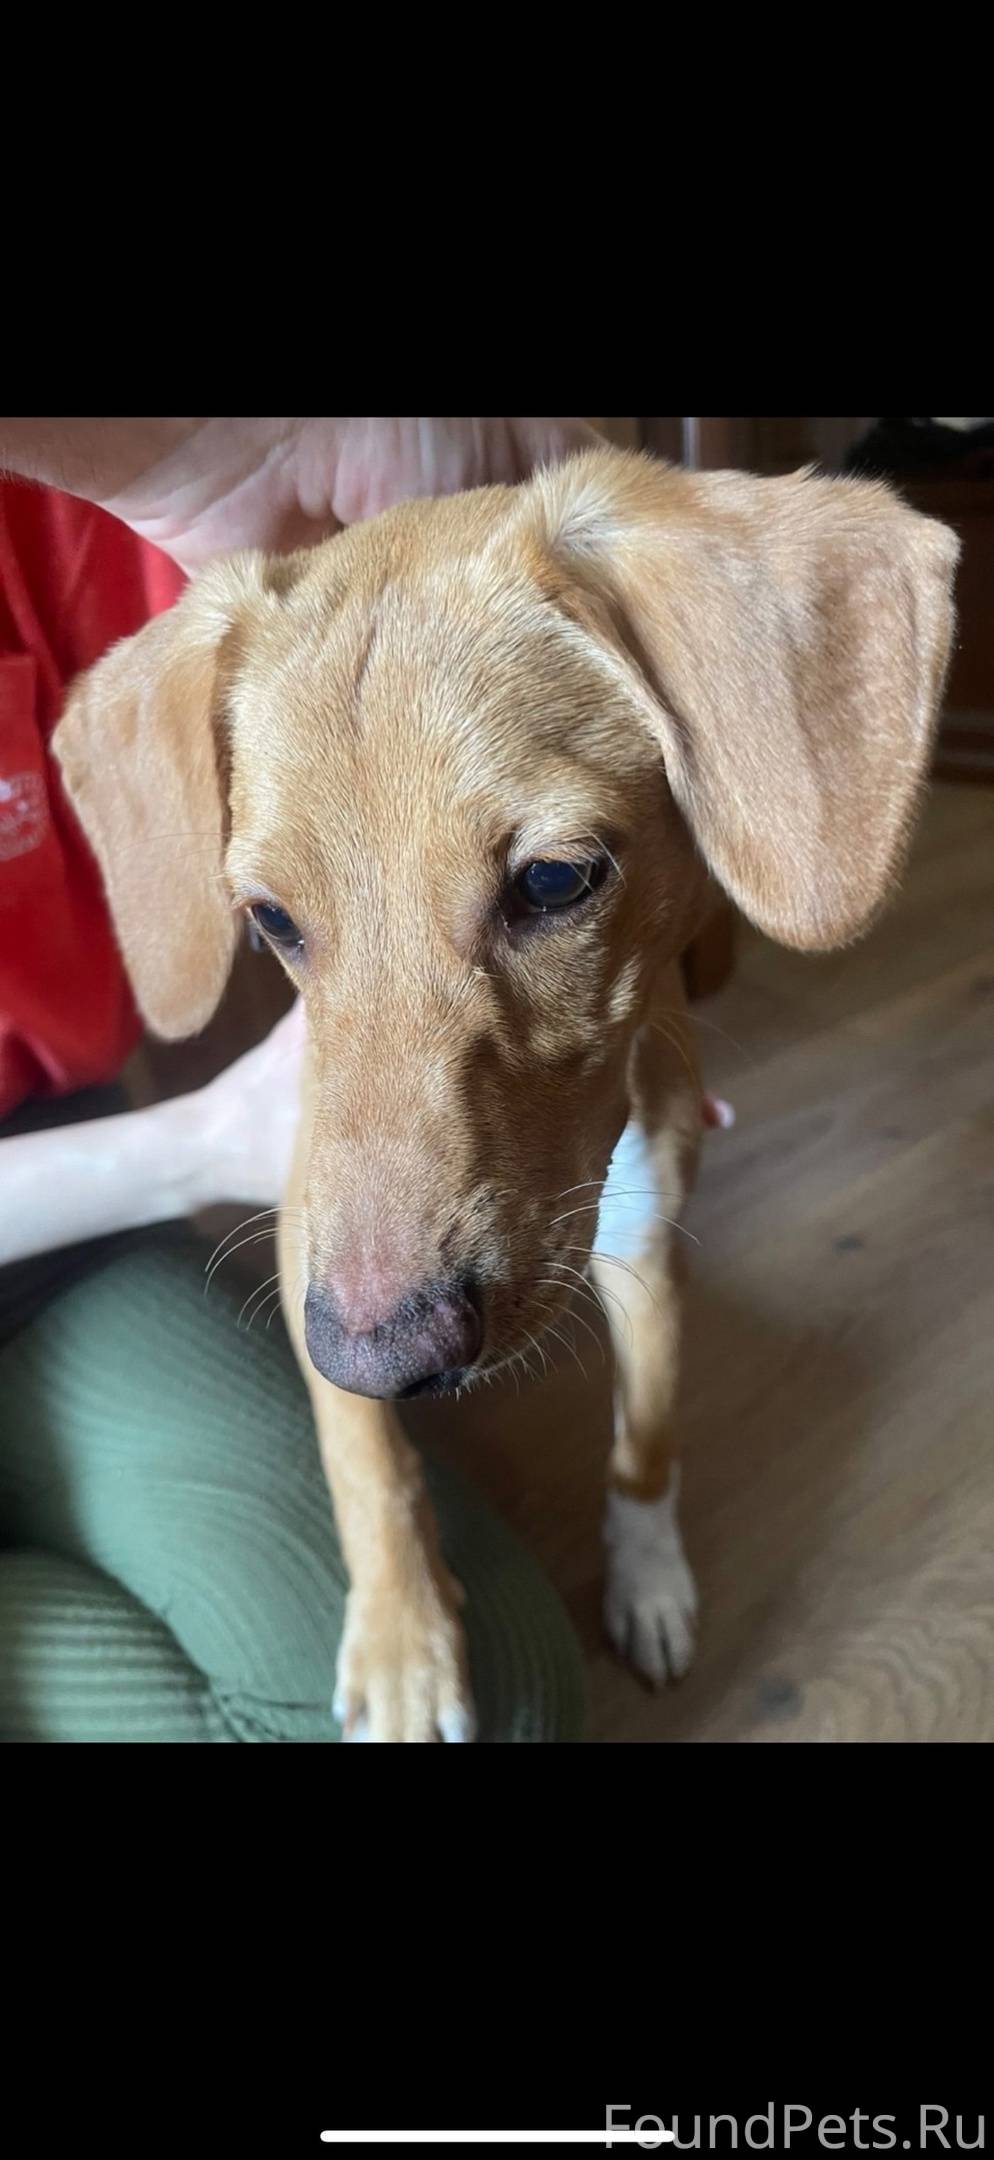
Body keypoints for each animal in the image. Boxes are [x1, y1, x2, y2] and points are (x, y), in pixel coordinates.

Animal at [53, 446, 959, 1741]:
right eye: (270, 920)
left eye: (555, 881)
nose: (386, 1356)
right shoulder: (308, 1239)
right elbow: (364, 1463)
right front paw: (404, 1646)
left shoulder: (648, 1248)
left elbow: (644, 1445)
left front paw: (647, 1578)